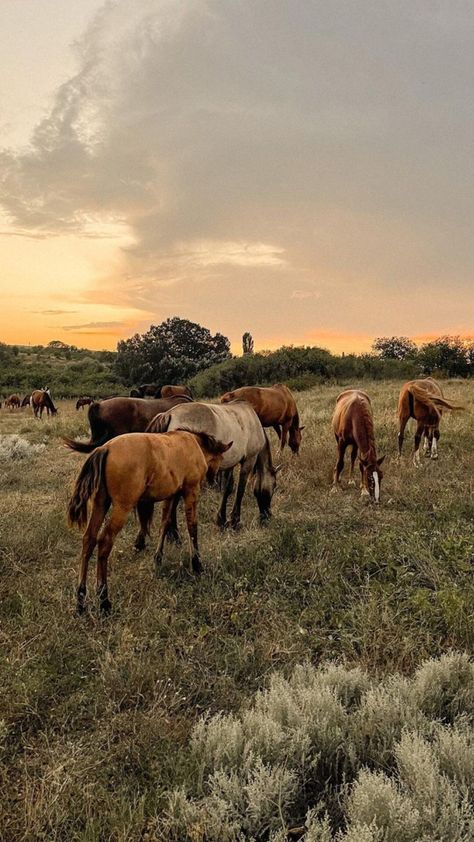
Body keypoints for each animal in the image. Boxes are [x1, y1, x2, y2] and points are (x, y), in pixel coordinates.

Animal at [68, 430, 231, 612]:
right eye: (221, 459)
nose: (214, 478)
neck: (194, 444)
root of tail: (105, 448)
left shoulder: (172, 495)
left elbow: (165, 523)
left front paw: (158, 557)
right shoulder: (191, 491)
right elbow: (192, 527)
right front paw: (196, 563)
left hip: (100, 503)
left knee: (89, 539)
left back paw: (81, 599)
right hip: (122, 507)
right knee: (104, 542)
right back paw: (104, 600)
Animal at [148, 398, 280, 528]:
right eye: (274, 486)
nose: (267, 516)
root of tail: (168, 414)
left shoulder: (230, 463)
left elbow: (227, 488)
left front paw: (222, 519)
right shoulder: (249, 460)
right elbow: (240, 490)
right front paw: (235, 520)